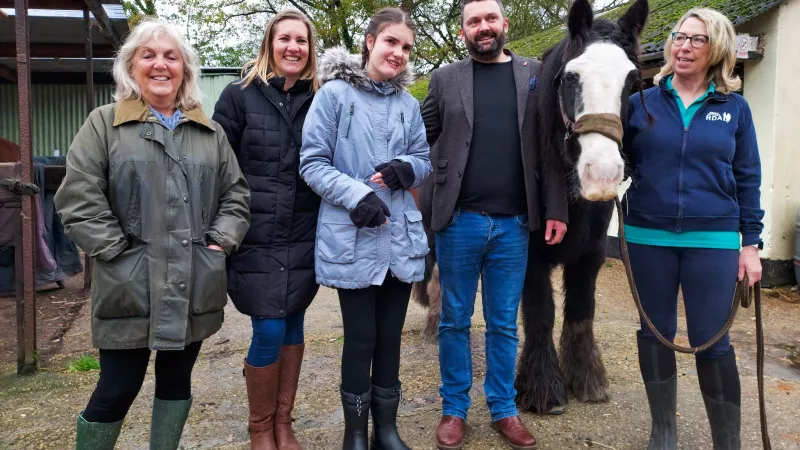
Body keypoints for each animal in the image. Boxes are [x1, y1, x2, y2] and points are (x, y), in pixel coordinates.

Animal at [412, 0, 648, 414]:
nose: (602, 174)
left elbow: (580, 311)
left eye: (633, 82)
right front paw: (543, 390)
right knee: (441, 279)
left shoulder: (590, 257)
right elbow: (541, 313)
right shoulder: (531, 258)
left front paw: (587, 379)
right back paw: (435, 329)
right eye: (570, 78)